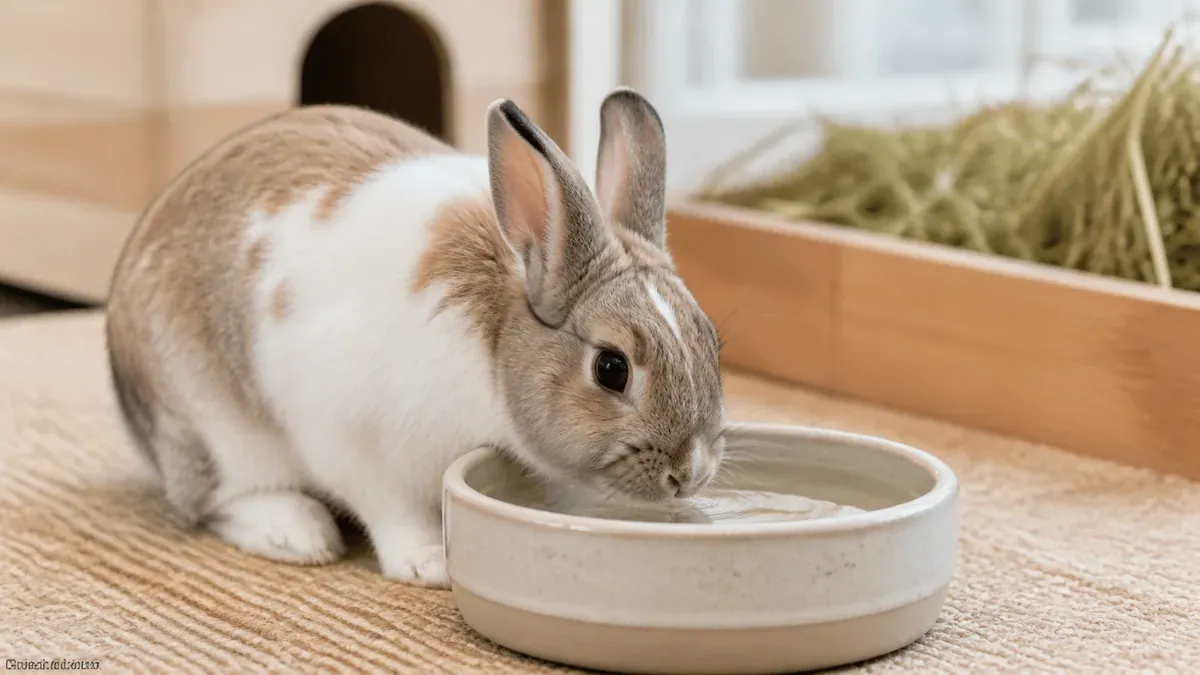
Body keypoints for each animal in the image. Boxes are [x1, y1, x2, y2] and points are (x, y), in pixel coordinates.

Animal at [105, 88, 728, 588]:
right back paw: (300, 533)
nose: (690, 474)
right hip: (218, 427)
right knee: (213, 501)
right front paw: (429, 564)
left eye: (712, 341)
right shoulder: (356, 444)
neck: (494, 340)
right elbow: (394, 512)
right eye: (611, 368)